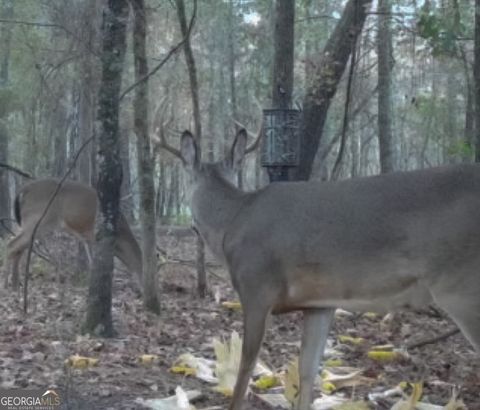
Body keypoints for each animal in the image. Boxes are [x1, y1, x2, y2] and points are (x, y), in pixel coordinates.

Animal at [3, 178, 142, 290]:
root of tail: (23, 190)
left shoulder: (86, 237)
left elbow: (91, 261)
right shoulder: (95, 234)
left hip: (26, 223)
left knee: (17, 247)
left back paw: (15, 286)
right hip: (37, 221)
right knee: (12, 245)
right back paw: (6, 286)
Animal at [172, 129, 480, 410]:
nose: (191, 226)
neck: (232, 223)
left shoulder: (256, 288)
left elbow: (246, 367)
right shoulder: (320, 303)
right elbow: (307, 370)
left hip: (462, 289)